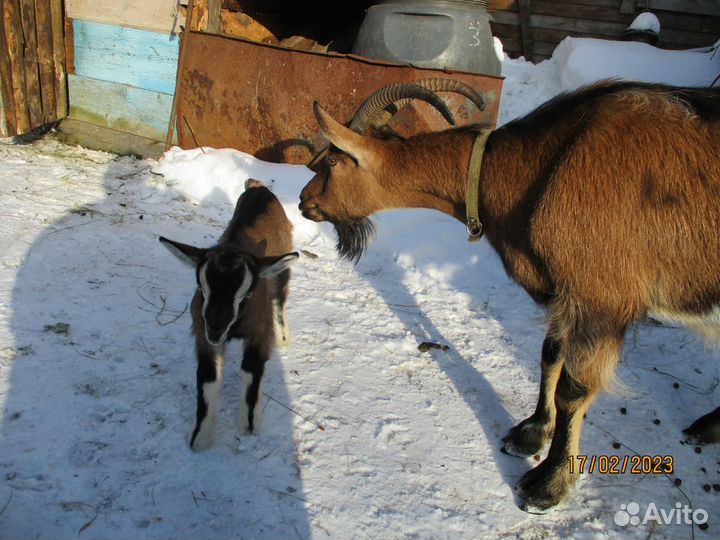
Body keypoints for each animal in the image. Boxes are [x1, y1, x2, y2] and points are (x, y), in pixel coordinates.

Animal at [161, 179, 298, 450]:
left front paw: (248, 423)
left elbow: (251, 370)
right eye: (201, 286)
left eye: (247, 293)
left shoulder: (259, 331)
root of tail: (259, 187)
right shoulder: (203, 334)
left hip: (283, 267)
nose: (216, 327)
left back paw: (284, 337)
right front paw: (200, 437)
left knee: (280, 296)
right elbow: (208, 376)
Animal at [298, 80, 720, 511]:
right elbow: (550, 356)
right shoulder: (564, 296)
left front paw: (548, 484)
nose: (302, 200)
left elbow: (573, 391)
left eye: (333, 162)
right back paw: (708, 428)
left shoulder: (599, 298)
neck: (539, 169)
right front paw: (531, 432)